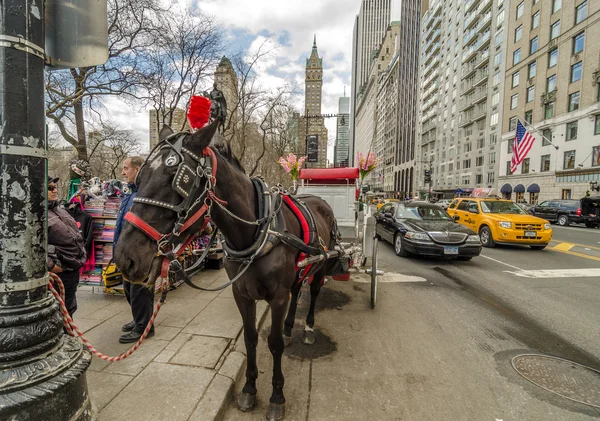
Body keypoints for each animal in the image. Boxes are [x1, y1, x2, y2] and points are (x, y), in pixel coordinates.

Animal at [115, 116, 344, 418]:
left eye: (179, 179)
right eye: (138, 180)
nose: (124, 257)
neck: (254, 232)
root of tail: (318, 200)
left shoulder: (277, 296)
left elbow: (274, 344)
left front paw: (277, 396)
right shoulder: (241, 293)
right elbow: (250, 339)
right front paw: (249, 389)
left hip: (322, 264)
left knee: (314, 292)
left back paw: (306, 329)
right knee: (297, 291)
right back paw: (289, 326)